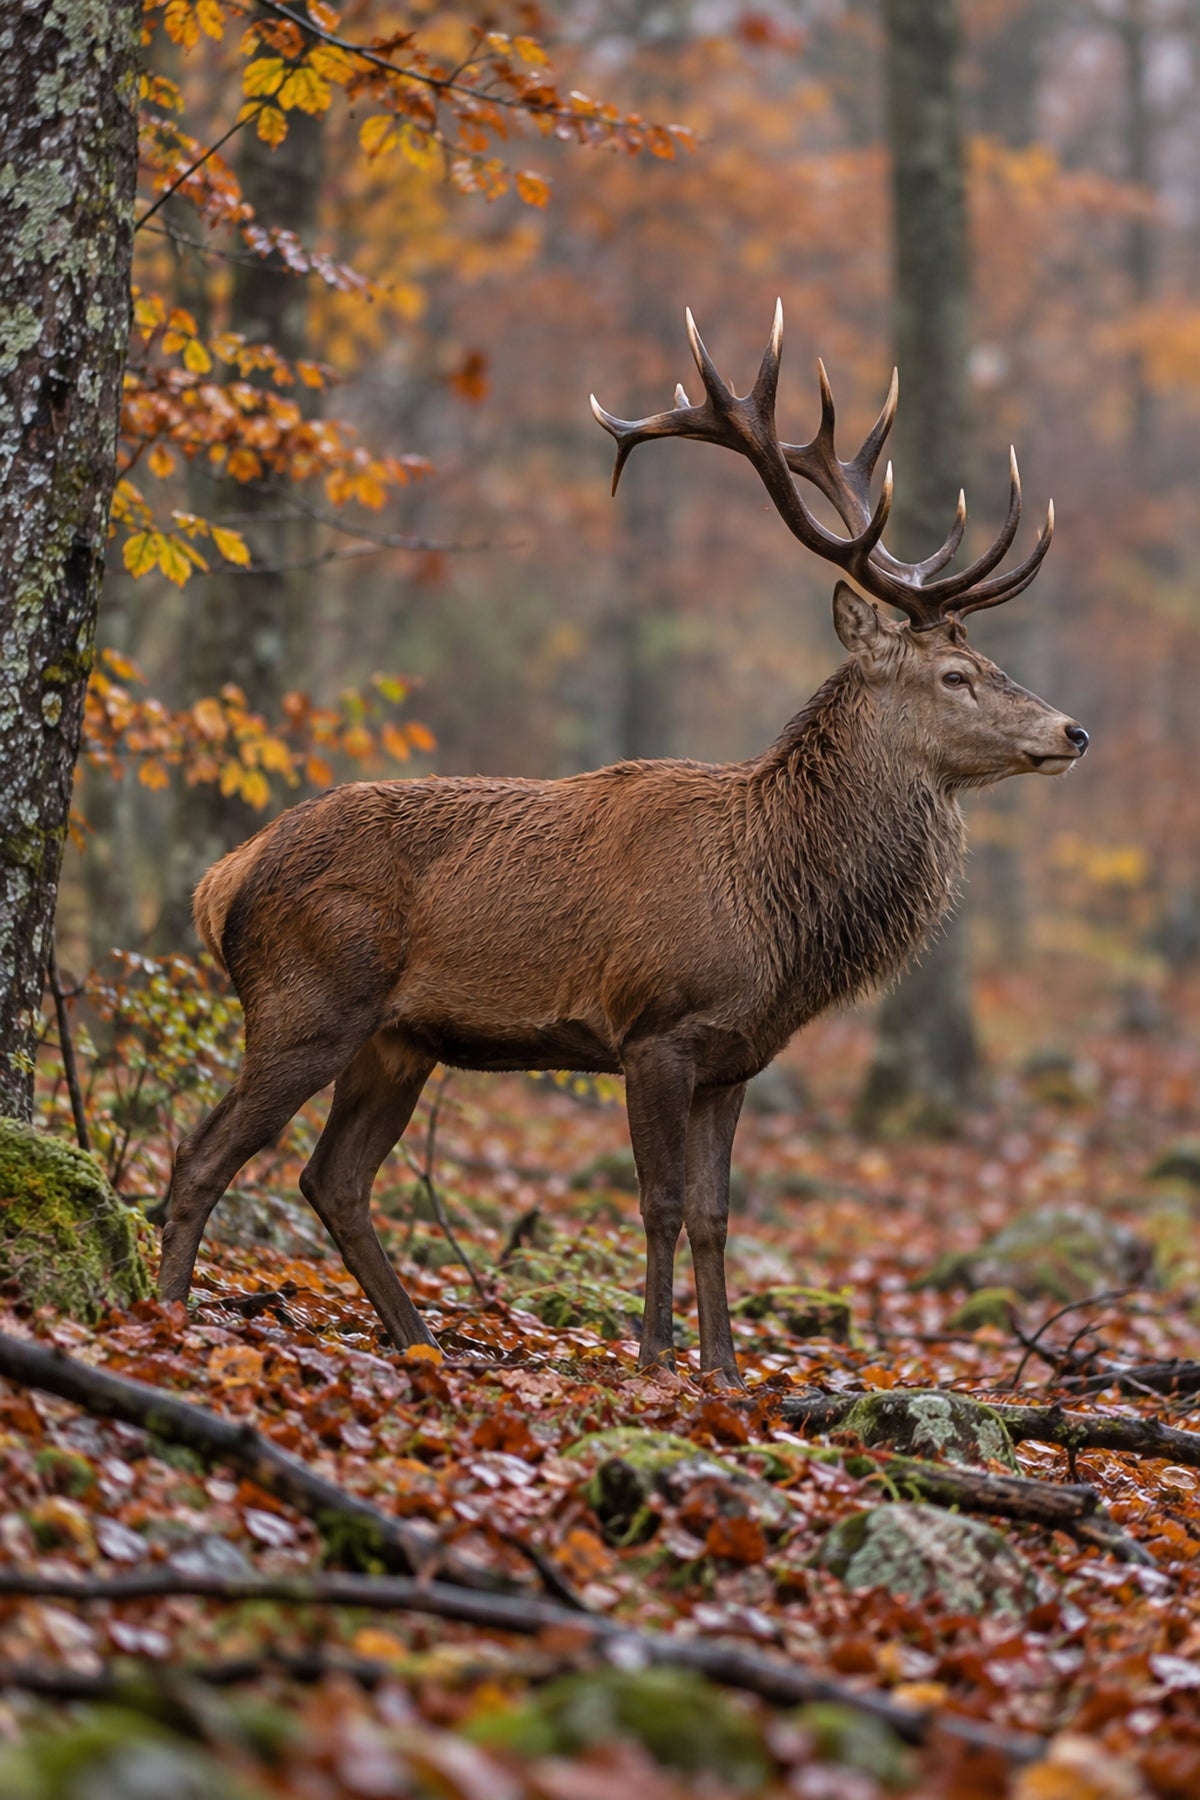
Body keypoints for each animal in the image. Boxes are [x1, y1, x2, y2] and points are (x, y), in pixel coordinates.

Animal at [158, 303, 1087, 1387]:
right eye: (955, 674)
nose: (1072, 731)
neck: (775, 917)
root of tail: (222, 879)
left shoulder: (736, 1058)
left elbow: (719, 1216)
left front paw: (725, 1368)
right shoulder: (654, 1028)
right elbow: (661, 1202)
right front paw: (654, 1356)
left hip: (397, 1039)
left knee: (332, 1179)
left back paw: (421, 1339)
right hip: (306, 1000)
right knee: (208, 1152)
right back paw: (166, 1315)